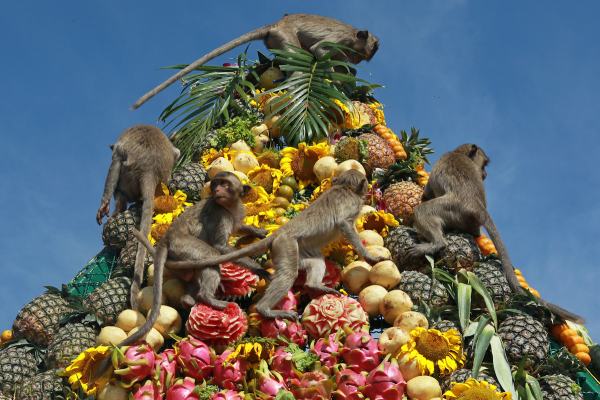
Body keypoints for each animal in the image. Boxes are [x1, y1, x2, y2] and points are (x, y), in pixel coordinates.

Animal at [96, 125, 179, 310]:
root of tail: (150, 170)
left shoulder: (118, 150)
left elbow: (114, 165)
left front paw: (104, 205)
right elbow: (177, 152)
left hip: (128, 178)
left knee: (118, 178)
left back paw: (118, 209)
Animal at [133, 13, 380, 109]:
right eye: (366, 52)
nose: (359, 60)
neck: (353, 36)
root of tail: (276, 25)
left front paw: (349, 78)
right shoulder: (342, 41)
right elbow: (320, 50)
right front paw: (338, 79)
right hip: (284, 37)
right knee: (299, 60)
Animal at [165, 169, 384, 318]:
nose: (368, 187)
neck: (345, 187)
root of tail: (279, 233)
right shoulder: (351, 205)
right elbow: (345, 225)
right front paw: (369, 256)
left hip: (295, 249)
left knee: (314, 263)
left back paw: (314, 285)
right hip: (285, 246)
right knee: (288, 274)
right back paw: (266, 310)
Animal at [406, 143, 584, 322]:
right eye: (484, 165)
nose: (485, 174)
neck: (458, 153)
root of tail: (476, 206)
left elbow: (427, 193)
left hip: (451, 209)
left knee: (422, 211)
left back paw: (435, 243)